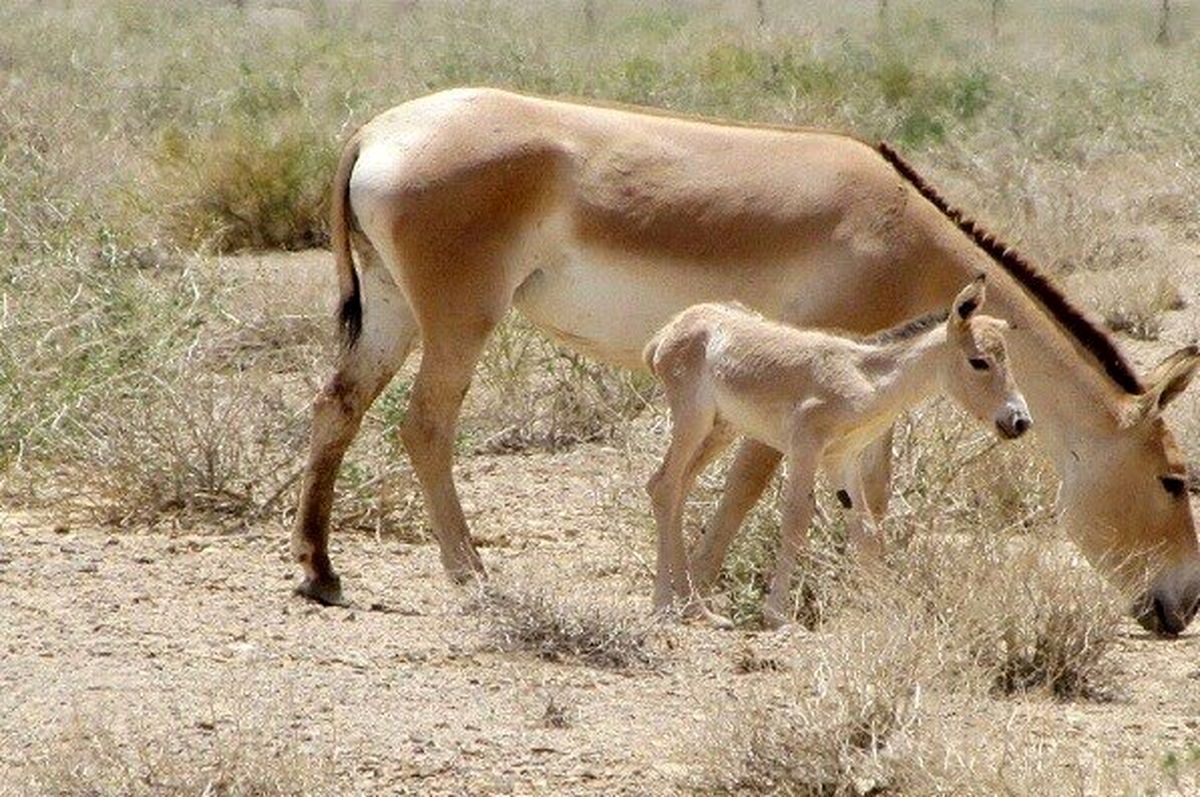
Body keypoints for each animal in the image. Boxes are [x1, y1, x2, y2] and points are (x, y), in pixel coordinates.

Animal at [648, 278, 1032, 628]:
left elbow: (866, 533)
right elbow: (796, 521)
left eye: (1009, 359)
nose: (1020, 421)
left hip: (720, 430)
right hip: (693, 419)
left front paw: (883, 610)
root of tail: (670, 329)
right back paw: (664, 604)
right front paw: (777, 616)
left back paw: (695, 608)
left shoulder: (841, 458)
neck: (868, 379)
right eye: (979, 361)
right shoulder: (805, 446)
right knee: (665, 487)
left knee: (674, 488)